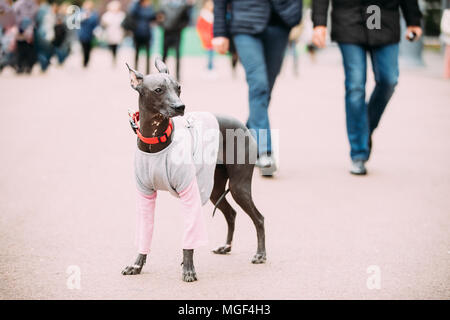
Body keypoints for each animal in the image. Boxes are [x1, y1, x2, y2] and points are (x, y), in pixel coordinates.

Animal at [121, 58, 266, 282]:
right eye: (158, 89)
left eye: (178, 87)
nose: (180, 106)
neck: (156, 143)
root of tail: (243, 125)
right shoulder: (145, 195)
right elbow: (144, 233)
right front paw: (137, 265)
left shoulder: (188, 193)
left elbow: (189, 239)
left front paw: (188, 269)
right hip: (215, 189)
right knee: (231, 214)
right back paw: (226, 246)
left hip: (237, 187)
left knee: (259, 218)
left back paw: (260, 254)